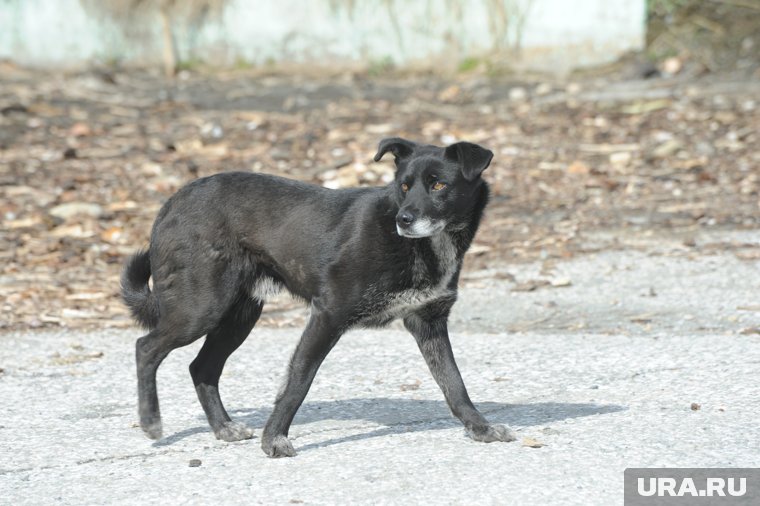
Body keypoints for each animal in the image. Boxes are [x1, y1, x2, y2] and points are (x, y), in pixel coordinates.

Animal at [123, 136, 516, 456]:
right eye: (404, 186)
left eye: (438, 185)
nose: (403, 220)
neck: (426, 245)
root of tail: (173, 201)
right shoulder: (327, 314)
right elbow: (298, 381)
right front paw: (274, 440)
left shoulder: (429, 323)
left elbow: (454, 384)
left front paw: (480, 428)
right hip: (202, 307)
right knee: (146, 347)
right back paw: (151, 420)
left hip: (239, 316)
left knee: (201, 367)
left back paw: (223, 428)